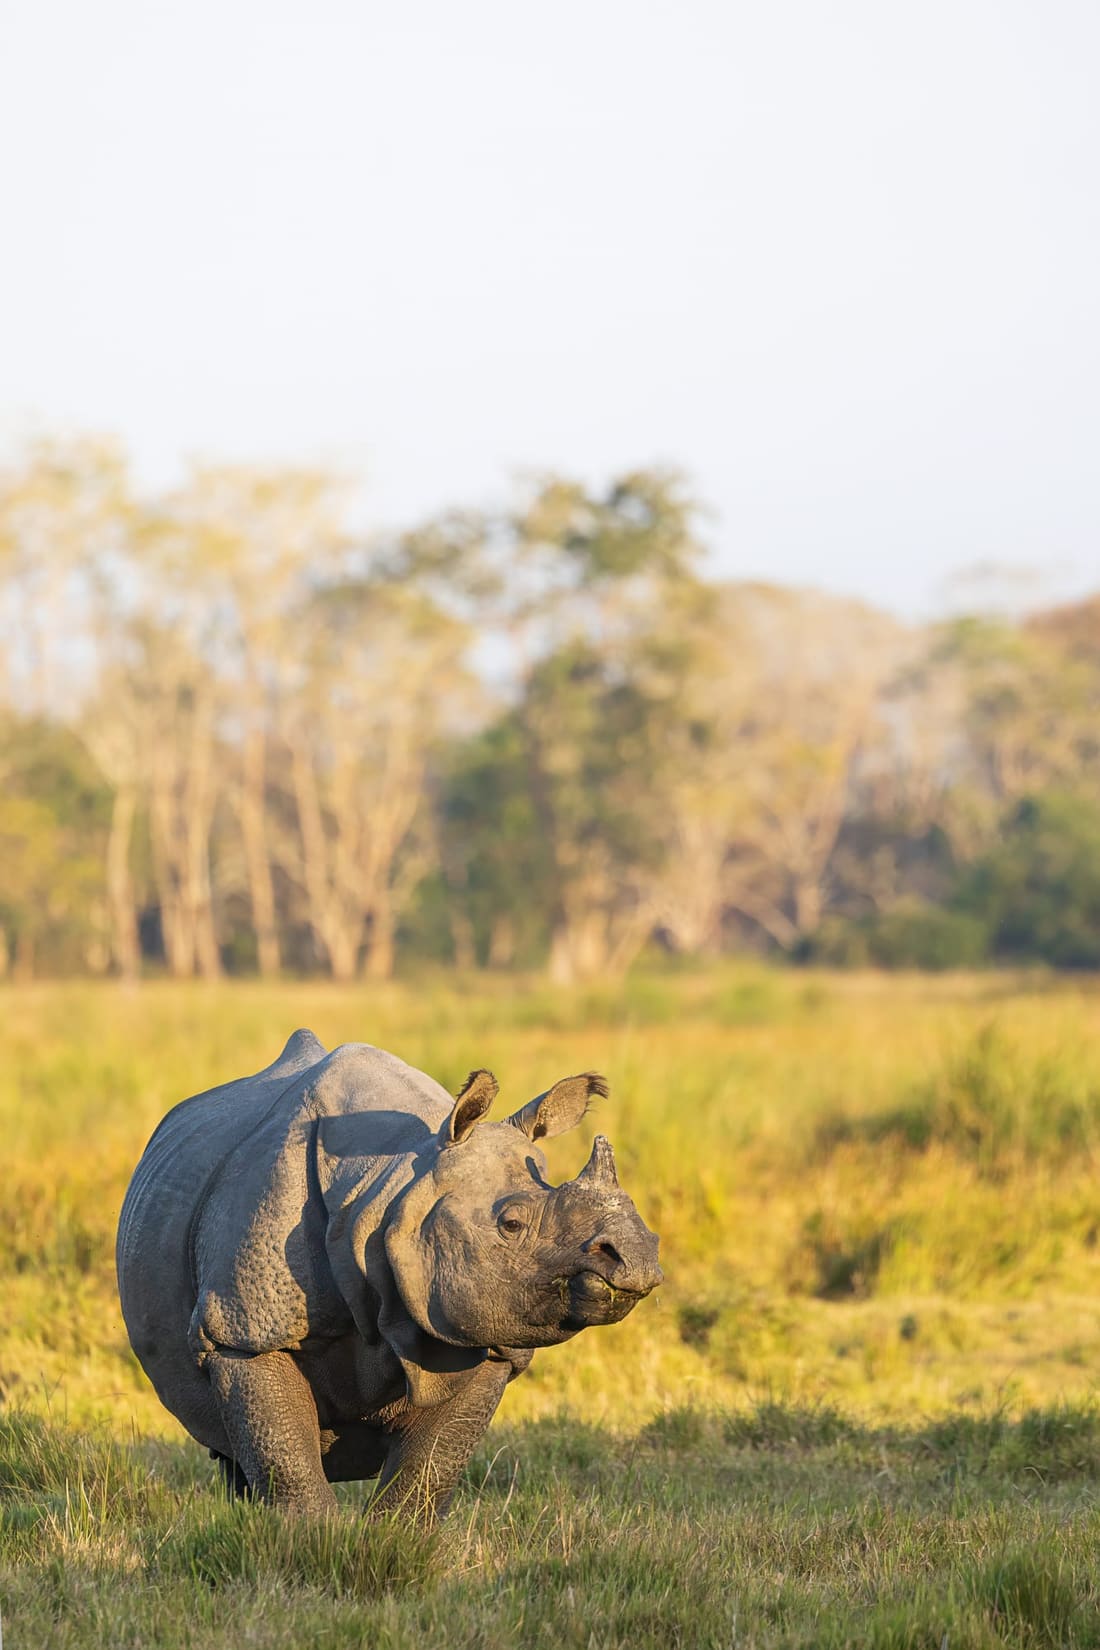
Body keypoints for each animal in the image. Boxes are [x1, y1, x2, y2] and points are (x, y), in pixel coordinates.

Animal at [116, 1031, 662, 1523]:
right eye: (511, 1224)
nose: (637, 1258)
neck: (393, 1189)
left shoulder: (489, 1336)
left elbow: (431, 1467)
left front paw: (399, 1539)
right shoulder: (244, 1331)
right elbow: (283, 1457)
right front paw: (310, 1542)